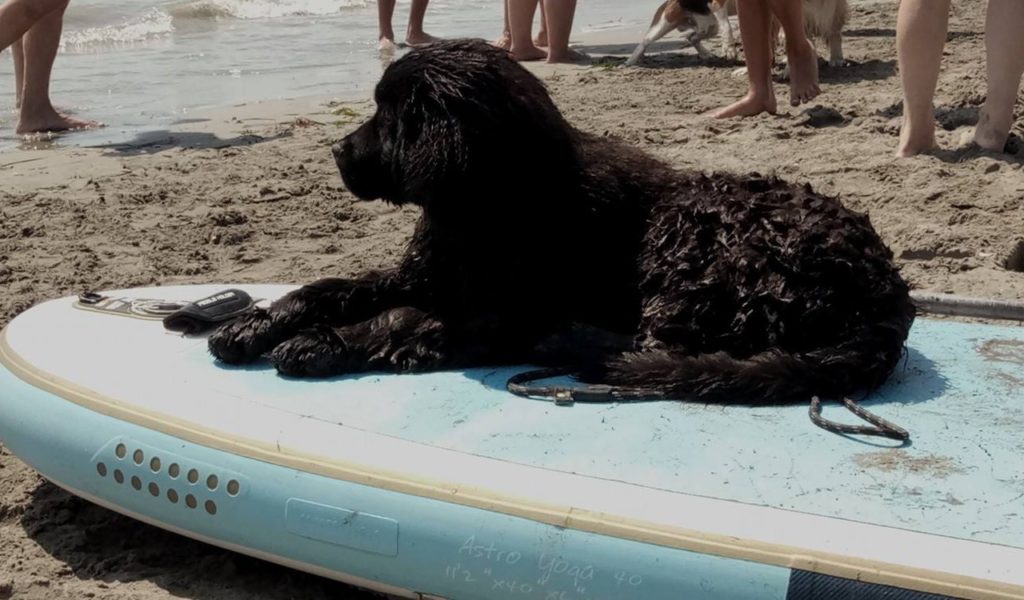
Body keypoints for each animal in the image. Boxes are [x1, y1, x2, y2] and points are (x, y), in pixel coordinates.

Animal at [207, 38, 913, 401]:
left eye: (388, 114)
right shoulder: (426, 273)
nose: (334, 151)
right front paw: (255, 323)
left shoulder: (491, 311)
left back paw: (567, 343)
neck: (487, 202)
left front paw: (322, 343)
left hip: (695, 233)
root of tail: (887, 296)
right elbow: (330, 287)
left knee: (658, 348)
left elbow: (401, 319)